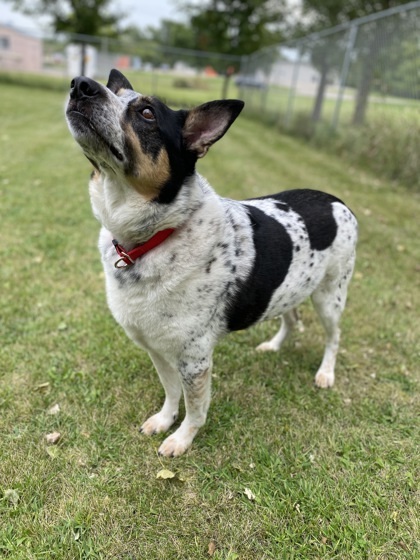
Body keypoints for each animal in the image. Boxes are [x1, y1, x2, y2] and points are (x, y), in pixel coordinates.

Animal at [65, 69, 358, 456]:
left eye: (147, 114)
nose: (80, 85)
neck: (154, 237)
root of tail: (338, 200)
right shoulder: (157, 348)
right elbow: (171, 391)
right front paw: (164, 420)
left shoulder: (195, 358)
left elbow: (195, 406)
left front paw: (182, 438)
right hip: (289, 289)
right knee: (291, 318)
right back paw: (274, 346)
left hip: (330, 296)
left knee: (334, 337)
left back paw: (326, 373)